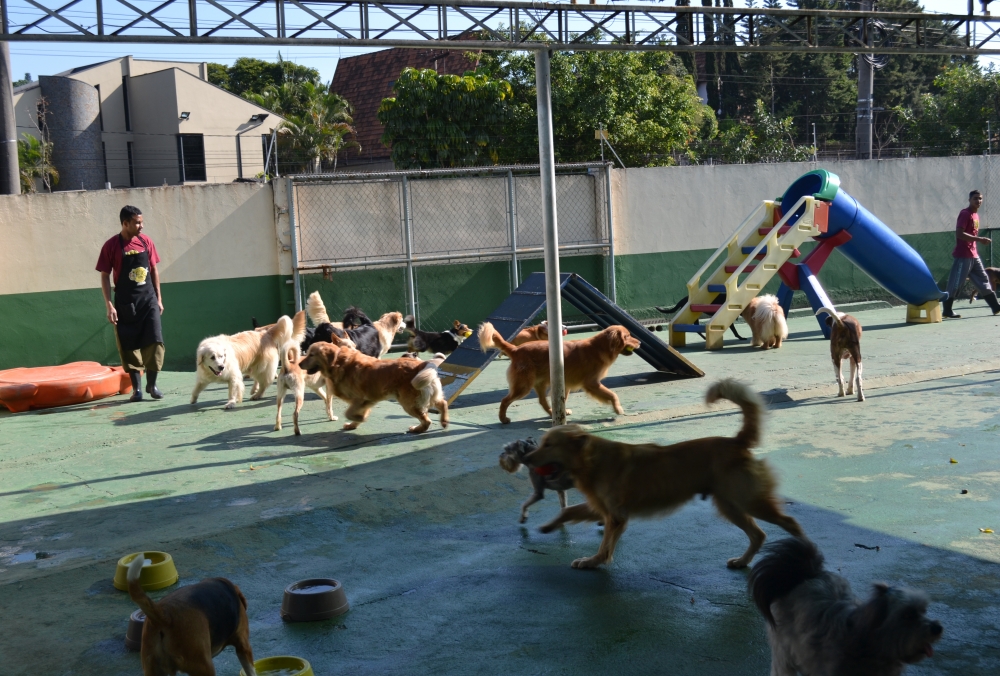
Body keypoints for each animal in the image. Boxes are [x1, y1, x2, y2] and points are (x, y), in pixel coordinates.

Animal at [298, 340, 448, 430]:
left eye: (311, 354)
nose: (298, 364)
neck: (337, 362)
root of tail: (422, 364)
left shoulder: (361, 399)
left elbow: (349, 413)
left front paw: (359, 419)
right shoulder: (365, 402)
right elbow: (355, 413)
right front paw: (353, 424)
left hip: (409, 403)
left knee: (427, 420)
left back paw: (417, 430)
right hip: (427, 396)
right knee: (443, 403)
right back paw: (444, 421)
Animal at [478, 320, 636, 422]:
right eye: (627, 336)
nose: (639, 342)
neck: (600, 347)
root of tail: (515, 349)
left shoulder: (566, 383)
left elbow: (561, 400)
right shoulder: (592, 383)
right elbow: (612, 394)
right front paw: (618, 409)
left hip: (540, 383)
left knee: (542, 401)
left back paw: (552, 413)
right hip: (523, 386)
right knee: (505, 400)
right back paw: (503, 418)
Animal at [524, 380, 804, 572]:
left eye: (548, 445)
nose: (526, 458)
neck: (592, 460)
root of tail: (736, 441)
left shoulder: (616, 517)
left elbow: (605, 545)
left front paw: (592, 562)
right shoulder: (602, 509)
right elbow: (568, 512)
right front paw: (549, 526)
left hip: (749, 501)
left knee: (790, 523)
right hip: (730, 506)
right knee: (759, 535)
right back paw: (743, 561)